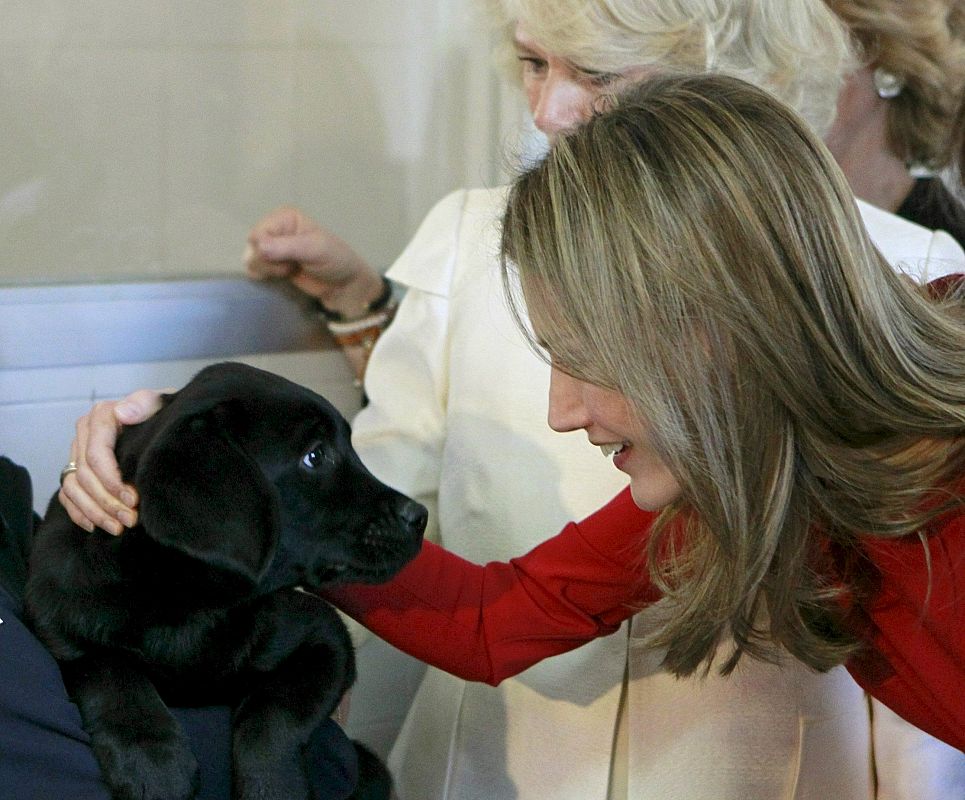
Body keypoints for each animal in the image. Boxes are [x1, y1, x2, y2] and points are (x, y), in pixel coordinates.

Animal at [24, 364, 424, 800]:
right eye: (315, 456)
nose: (419, 517)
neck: (188, 600)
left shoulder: (324, 638)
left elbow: (272, 712)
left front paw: (273, 786)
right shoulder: (59, 623)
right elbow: (106, 667)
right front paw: (153, 763)